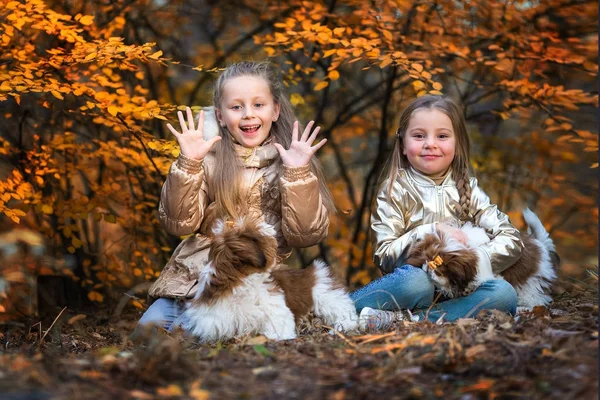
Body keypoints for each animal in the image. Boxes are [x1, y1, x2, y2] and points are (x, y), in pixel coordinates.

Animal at [406, 209, 560, 310]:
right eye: (426, 259)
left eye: (441, 270)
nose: (428, 270)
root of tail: (540, 244)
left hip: (531, 280)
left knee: (535, 296)